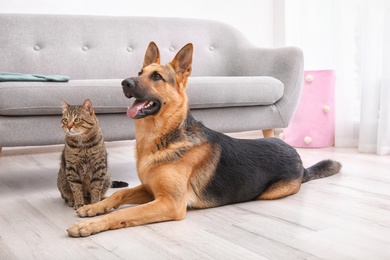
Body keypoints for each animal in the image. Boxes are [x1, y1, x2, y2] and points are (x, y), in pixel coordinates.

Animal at [67, 41, 342, 237]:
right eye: (139, 72)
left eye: (156, 77)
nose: (124, 82)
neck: (162, 136)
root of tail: (299, 159)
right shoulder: (150, 189)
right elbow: (119, 195)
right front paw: (94, 207)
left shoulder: (170, 202)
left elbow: (124, 213)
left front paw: (91, 224)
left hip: (270, 192)